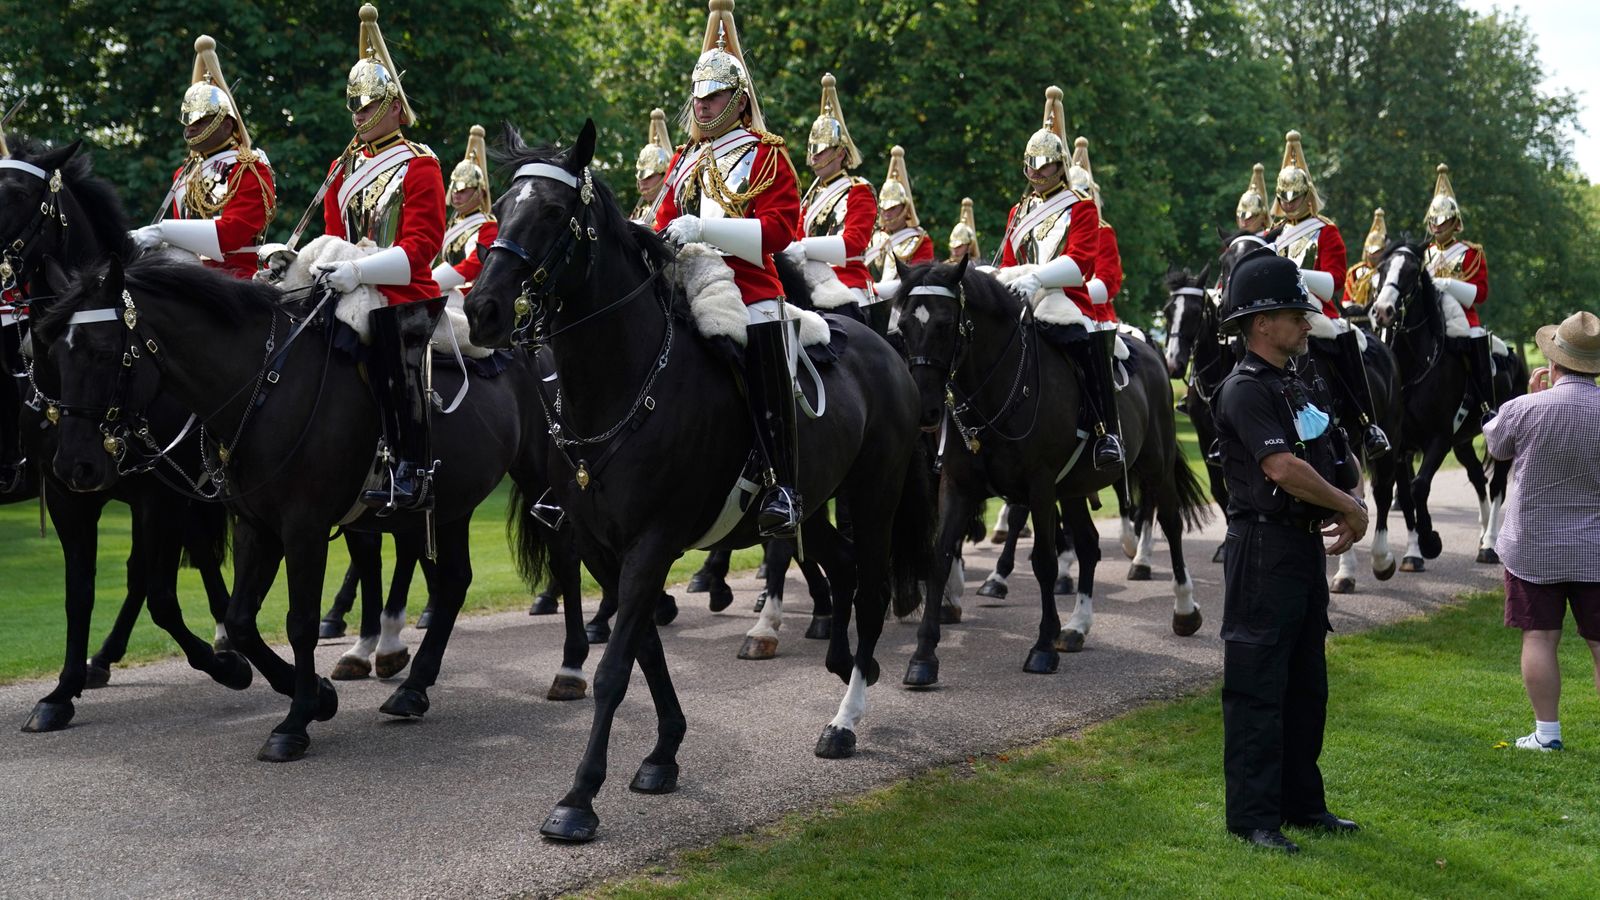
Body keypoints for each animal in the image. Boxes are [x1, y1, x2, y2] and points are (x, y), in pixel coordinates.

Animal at [0, 140, 236, 730]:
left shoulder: (162, 492)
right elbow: (81, 592)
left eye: (16, 194)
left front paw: (226, 664)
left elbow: (160, 594)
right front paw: (61, 692)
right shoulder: (72, 494)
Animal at [40, 246, 595, 755]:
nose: (72, 468)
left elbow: (300, 622)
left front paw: (295, 720)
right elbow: (241, 621)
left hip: (540, 475)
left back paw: (570, 667)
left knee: (565, 553)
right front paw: (313, 695)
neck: (264, 384)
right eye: (52, 356)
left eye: (102, 350)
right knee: (455, 580)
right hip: (447, 507)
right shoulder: (255, 525)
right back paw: (413, 688)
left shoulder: (301, 527)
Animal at [464, 120, 934, 839]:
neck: (625, 380)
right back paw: (843, 662)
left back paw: (844, 720)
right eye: (504, 207)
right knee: (843, 565)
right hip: (814, 506)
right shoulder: (603, 545)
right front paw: (663, 752)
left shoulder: (653, 540)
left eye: (553, 212)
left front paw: (579, 798)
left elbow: (615, 667)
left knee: (876, 587)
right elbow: (644, 649)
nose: (482, 310)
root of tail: (888, 350)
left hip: (874, 496)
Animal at [896, 256, 1203, 682]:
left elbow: (1044, 560)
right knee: (1089, 543)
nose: (925, 411)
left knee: (1170, 523)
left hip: (1154, 465)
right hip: (1074, 486)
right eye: (904, 326)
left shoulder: (1039, 486)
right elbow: (940, 557)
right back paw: (1076, 626)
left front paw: (1041, 647)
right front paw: (923, 657)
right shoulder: (956, 485)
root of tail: (1152, 352)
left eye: (944, 323)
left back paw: (1183, 608)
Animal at [1363, 238, 1523, 566]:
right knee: (1477, 477)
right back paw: (1481, 535)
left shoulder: (1438, 439)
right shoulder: (1401, 445)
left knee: (1497, 485)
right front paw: (1413, 552)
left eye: (1412, 271)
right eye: (1382, 268)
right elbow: (1406, 496)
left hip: (1498, 442)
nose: (1382, 311)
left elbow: (1419, 487)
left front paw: (1429, 541)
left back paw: (1490, 544)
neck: (1414, 365)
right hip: (1463, 442)